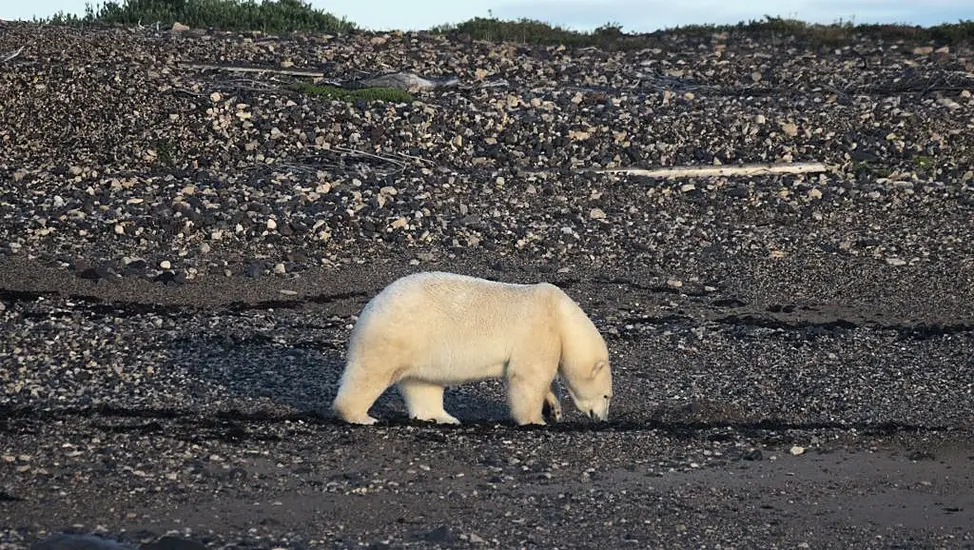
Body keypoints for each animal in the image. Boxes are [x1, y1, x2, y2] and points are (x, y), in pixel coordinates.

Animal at [332, 272, 612, 426]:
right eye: (607, 396)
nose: (602, 419)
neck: (562, 315)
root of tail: (370, 307)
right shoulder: (538, 329)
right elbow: (528, 377)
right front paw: (535, 419)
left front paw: (554, 409)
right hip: (396, 336)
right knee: (369, 374)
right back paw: (360, 415)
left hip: (421, 349)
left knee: (422, 384)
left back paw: (444, 417)